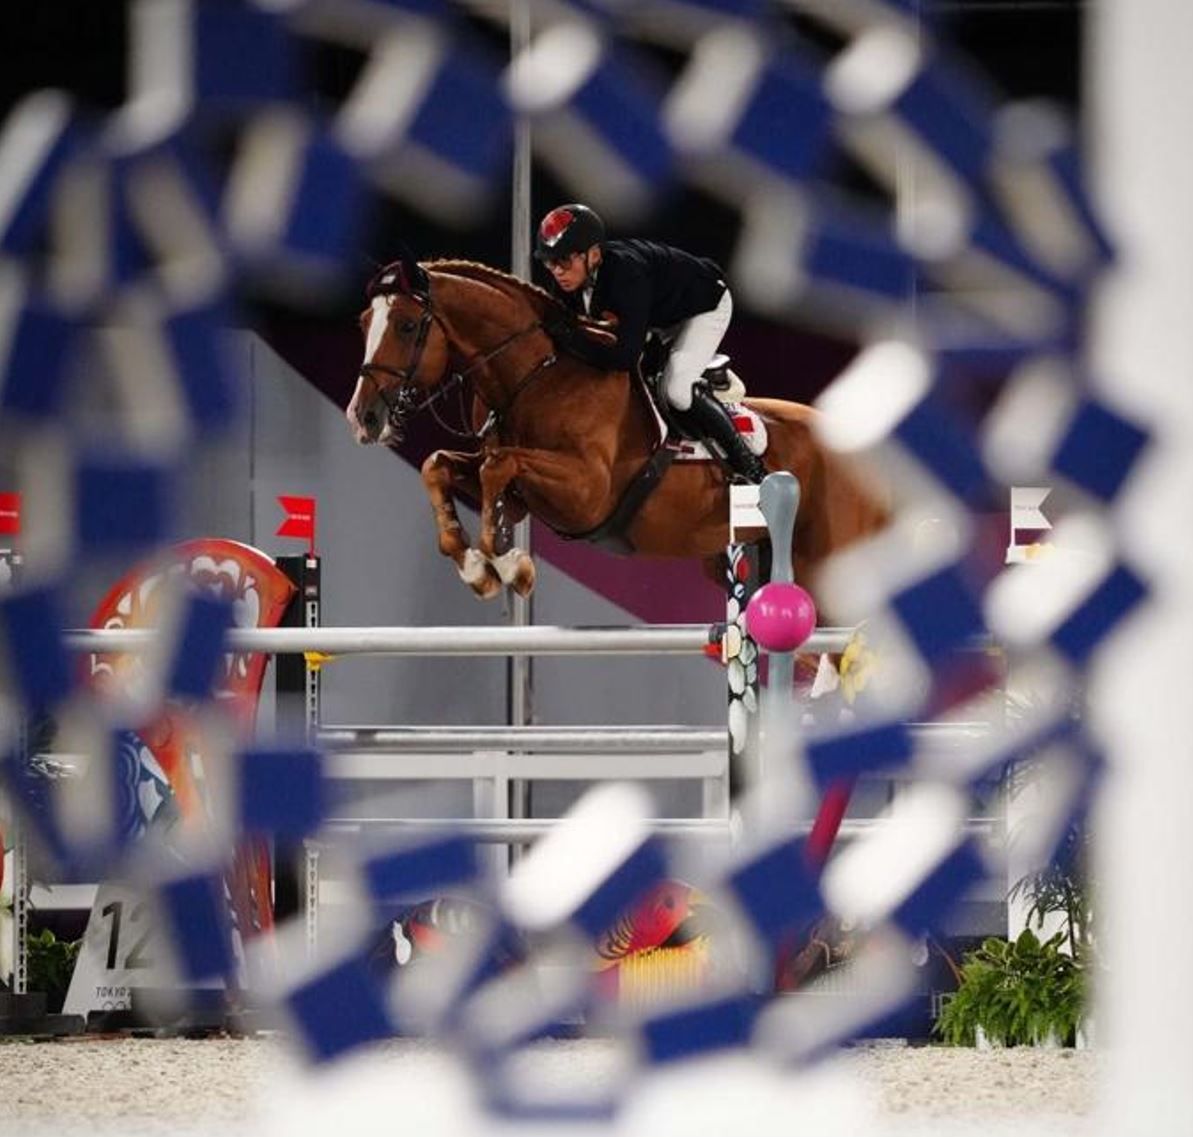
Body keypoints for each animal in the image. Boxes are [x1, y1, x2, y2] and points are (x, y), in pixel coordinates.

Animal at [345, 256, 889, 607]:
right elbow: (439, 465)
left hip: (826, 565)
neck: (537, 374)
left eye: (408, 326)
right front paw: (478, 567)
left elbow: (499, 465)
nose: (362, 417)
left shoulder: (586, 491)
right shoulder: (522, 490)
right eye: (365, 321)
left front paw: (506, 562)